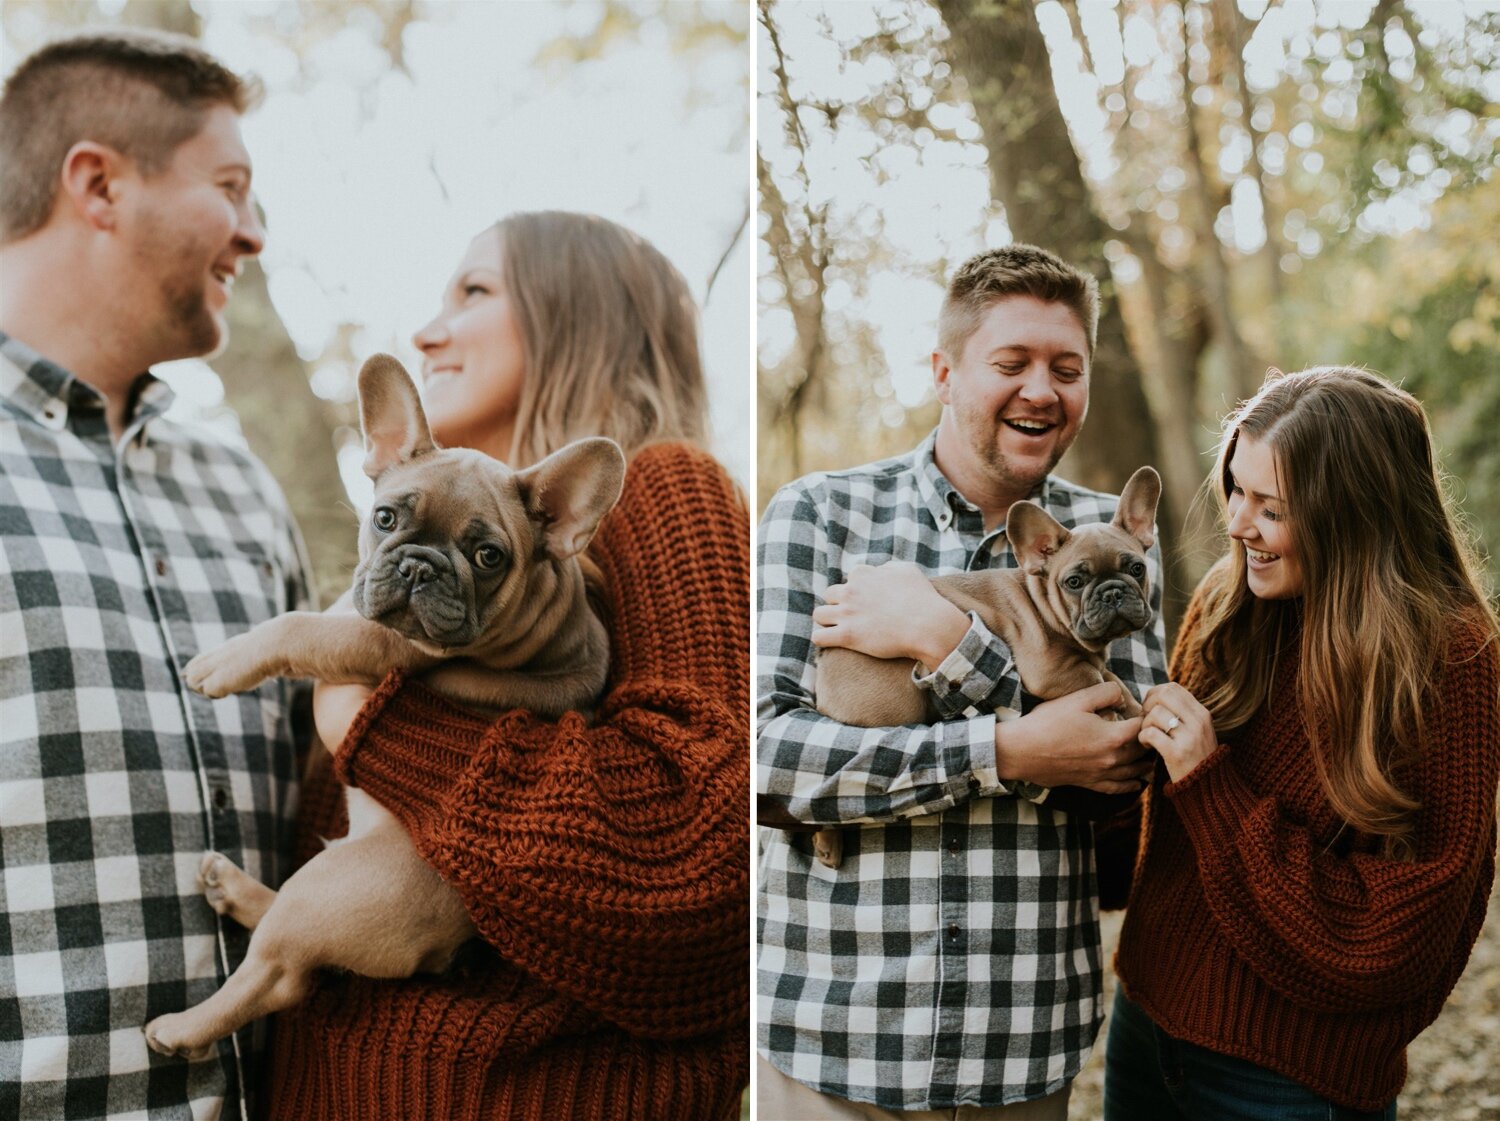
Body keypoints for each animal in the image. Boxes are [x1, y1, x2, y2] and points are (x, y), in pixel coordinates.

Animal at [143, 352, 624, 1062]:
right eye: (387, 519)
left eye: (488, 556)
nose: (420, 566)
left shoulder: (383, 645)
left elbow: (298, 627)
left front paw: (222, 662)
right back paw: (230, 888)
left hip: (332, 888)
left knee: (280, 976)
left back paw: (180, 1028)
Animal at [810, 465, 1158, 870]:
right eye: (1074, 582)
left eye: (1137, 568)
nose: (1113, 591)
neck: (1043, 600)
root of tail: (826, 663)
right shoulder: (1048, 669)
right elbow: (1100, 679)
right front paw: (1118, 710)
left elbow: (1110, 675)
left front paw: (1133, 705)